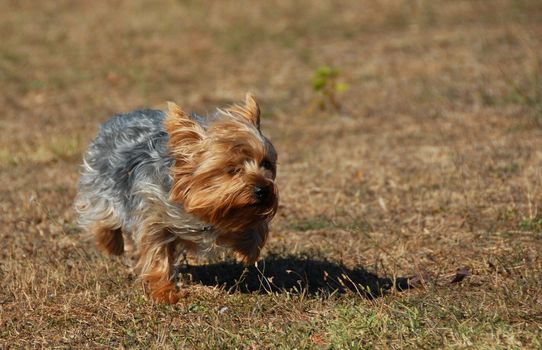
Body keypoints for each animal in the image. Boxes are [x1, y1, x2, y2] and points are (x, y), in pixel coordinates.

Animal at [75, 94, 280, 302]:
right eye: (232, 169)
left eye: (266, 164)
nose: (263, 190)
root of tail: (120, 117)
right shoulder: (153, 212)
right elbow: (157, 254)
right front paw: (164, 293)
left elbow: (253, 224)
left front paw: (247, 250)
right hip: (101, 182)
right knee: (102, 216)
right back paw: (111, 245)